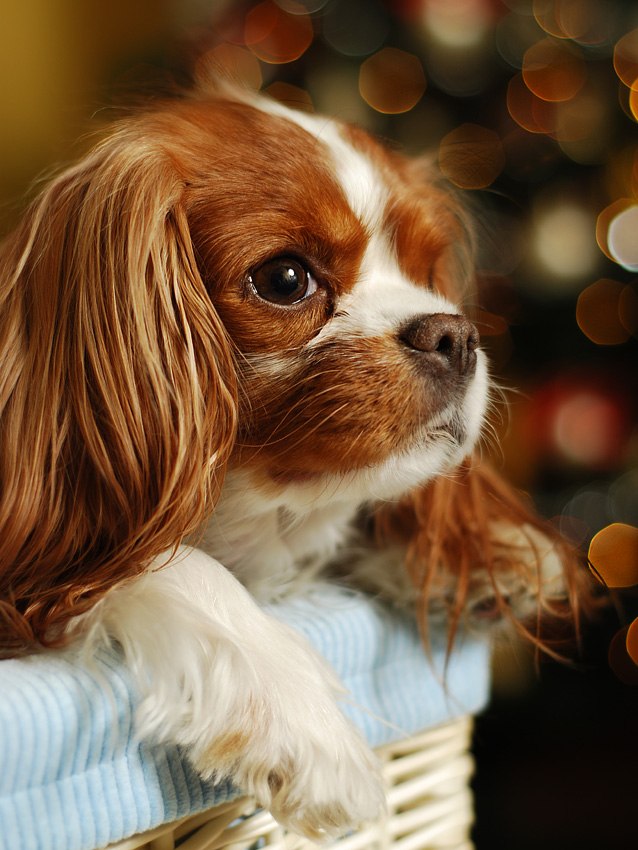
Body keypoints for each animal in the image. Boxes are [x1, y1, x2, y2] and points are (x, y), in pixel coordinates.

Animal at [0, 82, 592, 838]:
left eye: (425, 271)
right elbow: (170, 561)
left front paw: (488, 551)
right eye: (285, 279)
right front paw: (298, 714)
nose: (454, 334)